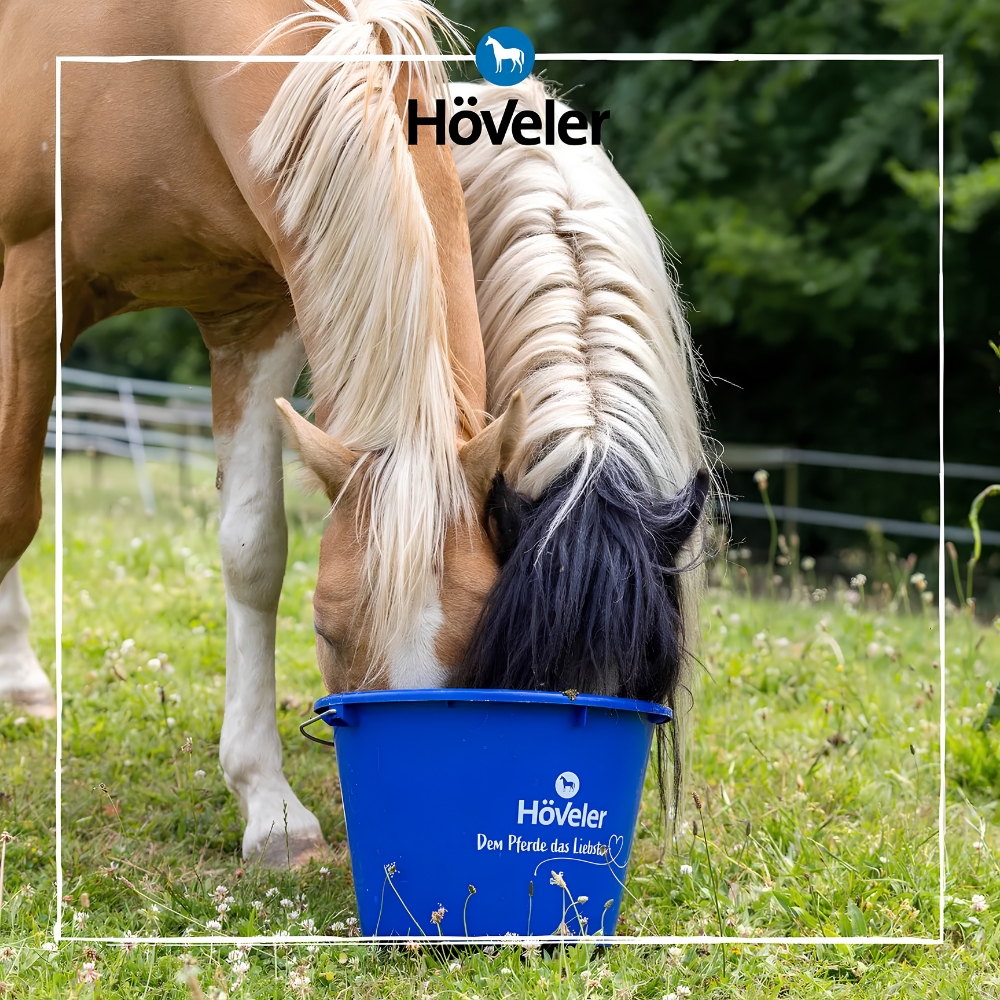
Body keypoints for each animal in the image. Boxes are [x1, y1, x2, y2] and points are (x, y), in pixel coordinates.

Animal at [0, 0, 526, 865]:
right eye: (327, 631)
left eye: (487, 629)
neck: (156, 48)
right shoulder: (30, 285)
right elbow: (13, 513)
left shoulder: (252, 315)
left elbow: (252, 551)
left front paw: (269, 805)